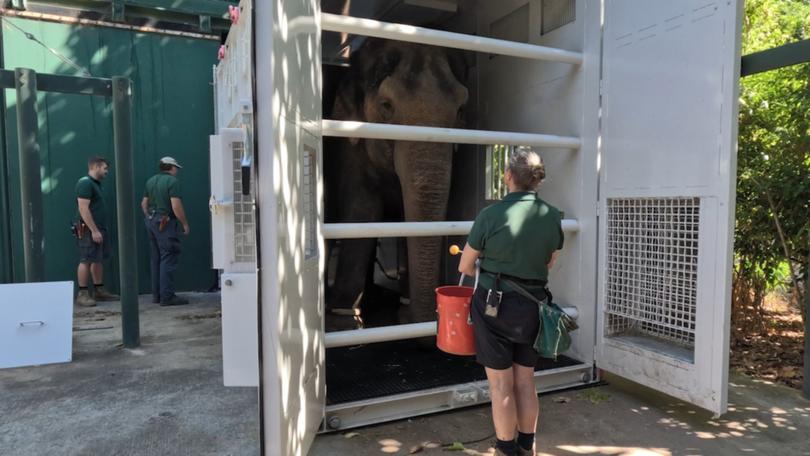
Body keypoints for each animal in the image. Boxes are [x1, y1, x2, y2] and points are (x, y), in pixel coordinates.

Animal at [326, 37, 470, 328]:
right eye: (386, 106)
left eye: (461, 110)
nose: (427, 320)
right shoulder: (350, 148)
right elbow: (363, 209)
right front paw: (344, 322)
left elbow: (408, 215)